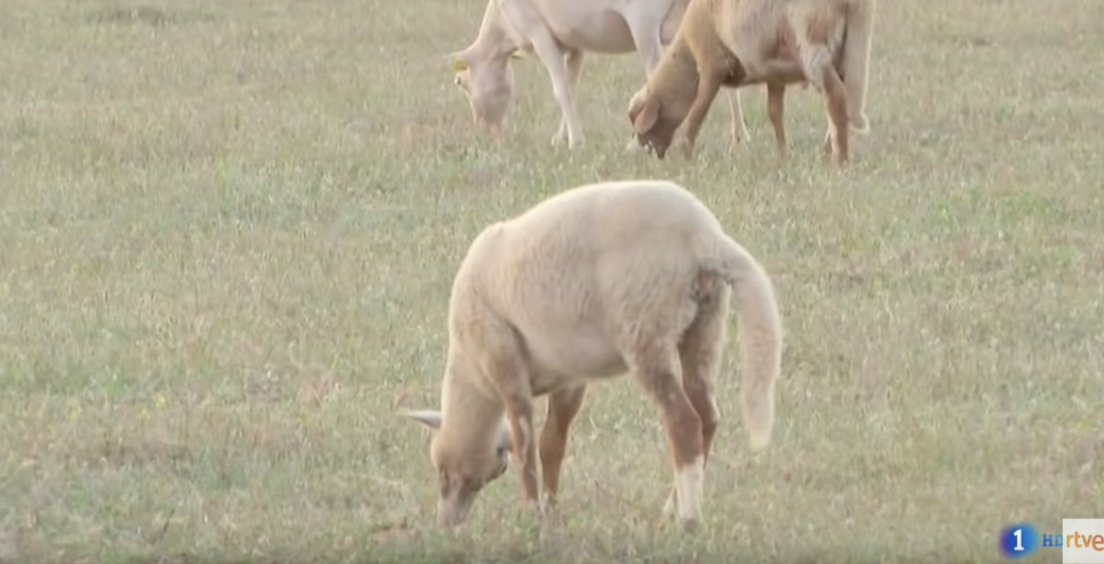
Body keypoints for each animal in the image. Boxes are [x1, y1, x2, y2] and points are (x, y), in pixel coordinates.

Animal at [404, 180, 783, 532]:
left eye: (443, 472)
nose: (446, 524)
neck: (472, 375)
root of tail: (707, 238)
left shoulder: (505, 366)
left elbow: (527, 451)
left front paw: (532, 515)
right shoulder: (569, 379)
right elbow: (552, 444)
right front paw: (553, 511)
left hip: (645, 329)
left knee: (684, 422)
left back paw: (687, 520)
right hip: (705, 324)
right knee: (708, 417)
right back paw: (671, 508)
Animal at [448, 0, 751, 151]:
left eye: (461, 83)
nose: (486, 132)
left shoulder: (538, 32)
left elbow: (560, 90)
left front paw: (575, 143)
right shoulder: (574, 42)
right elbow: (571, 88)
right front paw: (562, 137)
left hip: (643, 20)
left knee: (656, 76)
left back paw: (640, 142)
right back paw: (739, 135)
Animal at [627, 0, 876, 163]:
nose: (652, 155)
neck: (688, 55)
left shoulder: (712, 63)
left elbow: (698, 111)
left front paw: (684, 153)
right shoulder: (775, 72)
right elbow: (774, 112)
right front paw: (783, 155)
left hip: (811, 40)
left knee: (835, 95)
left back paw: (840, 161)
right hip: (846, 51)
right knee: (842, 103)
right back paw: (827, 152)